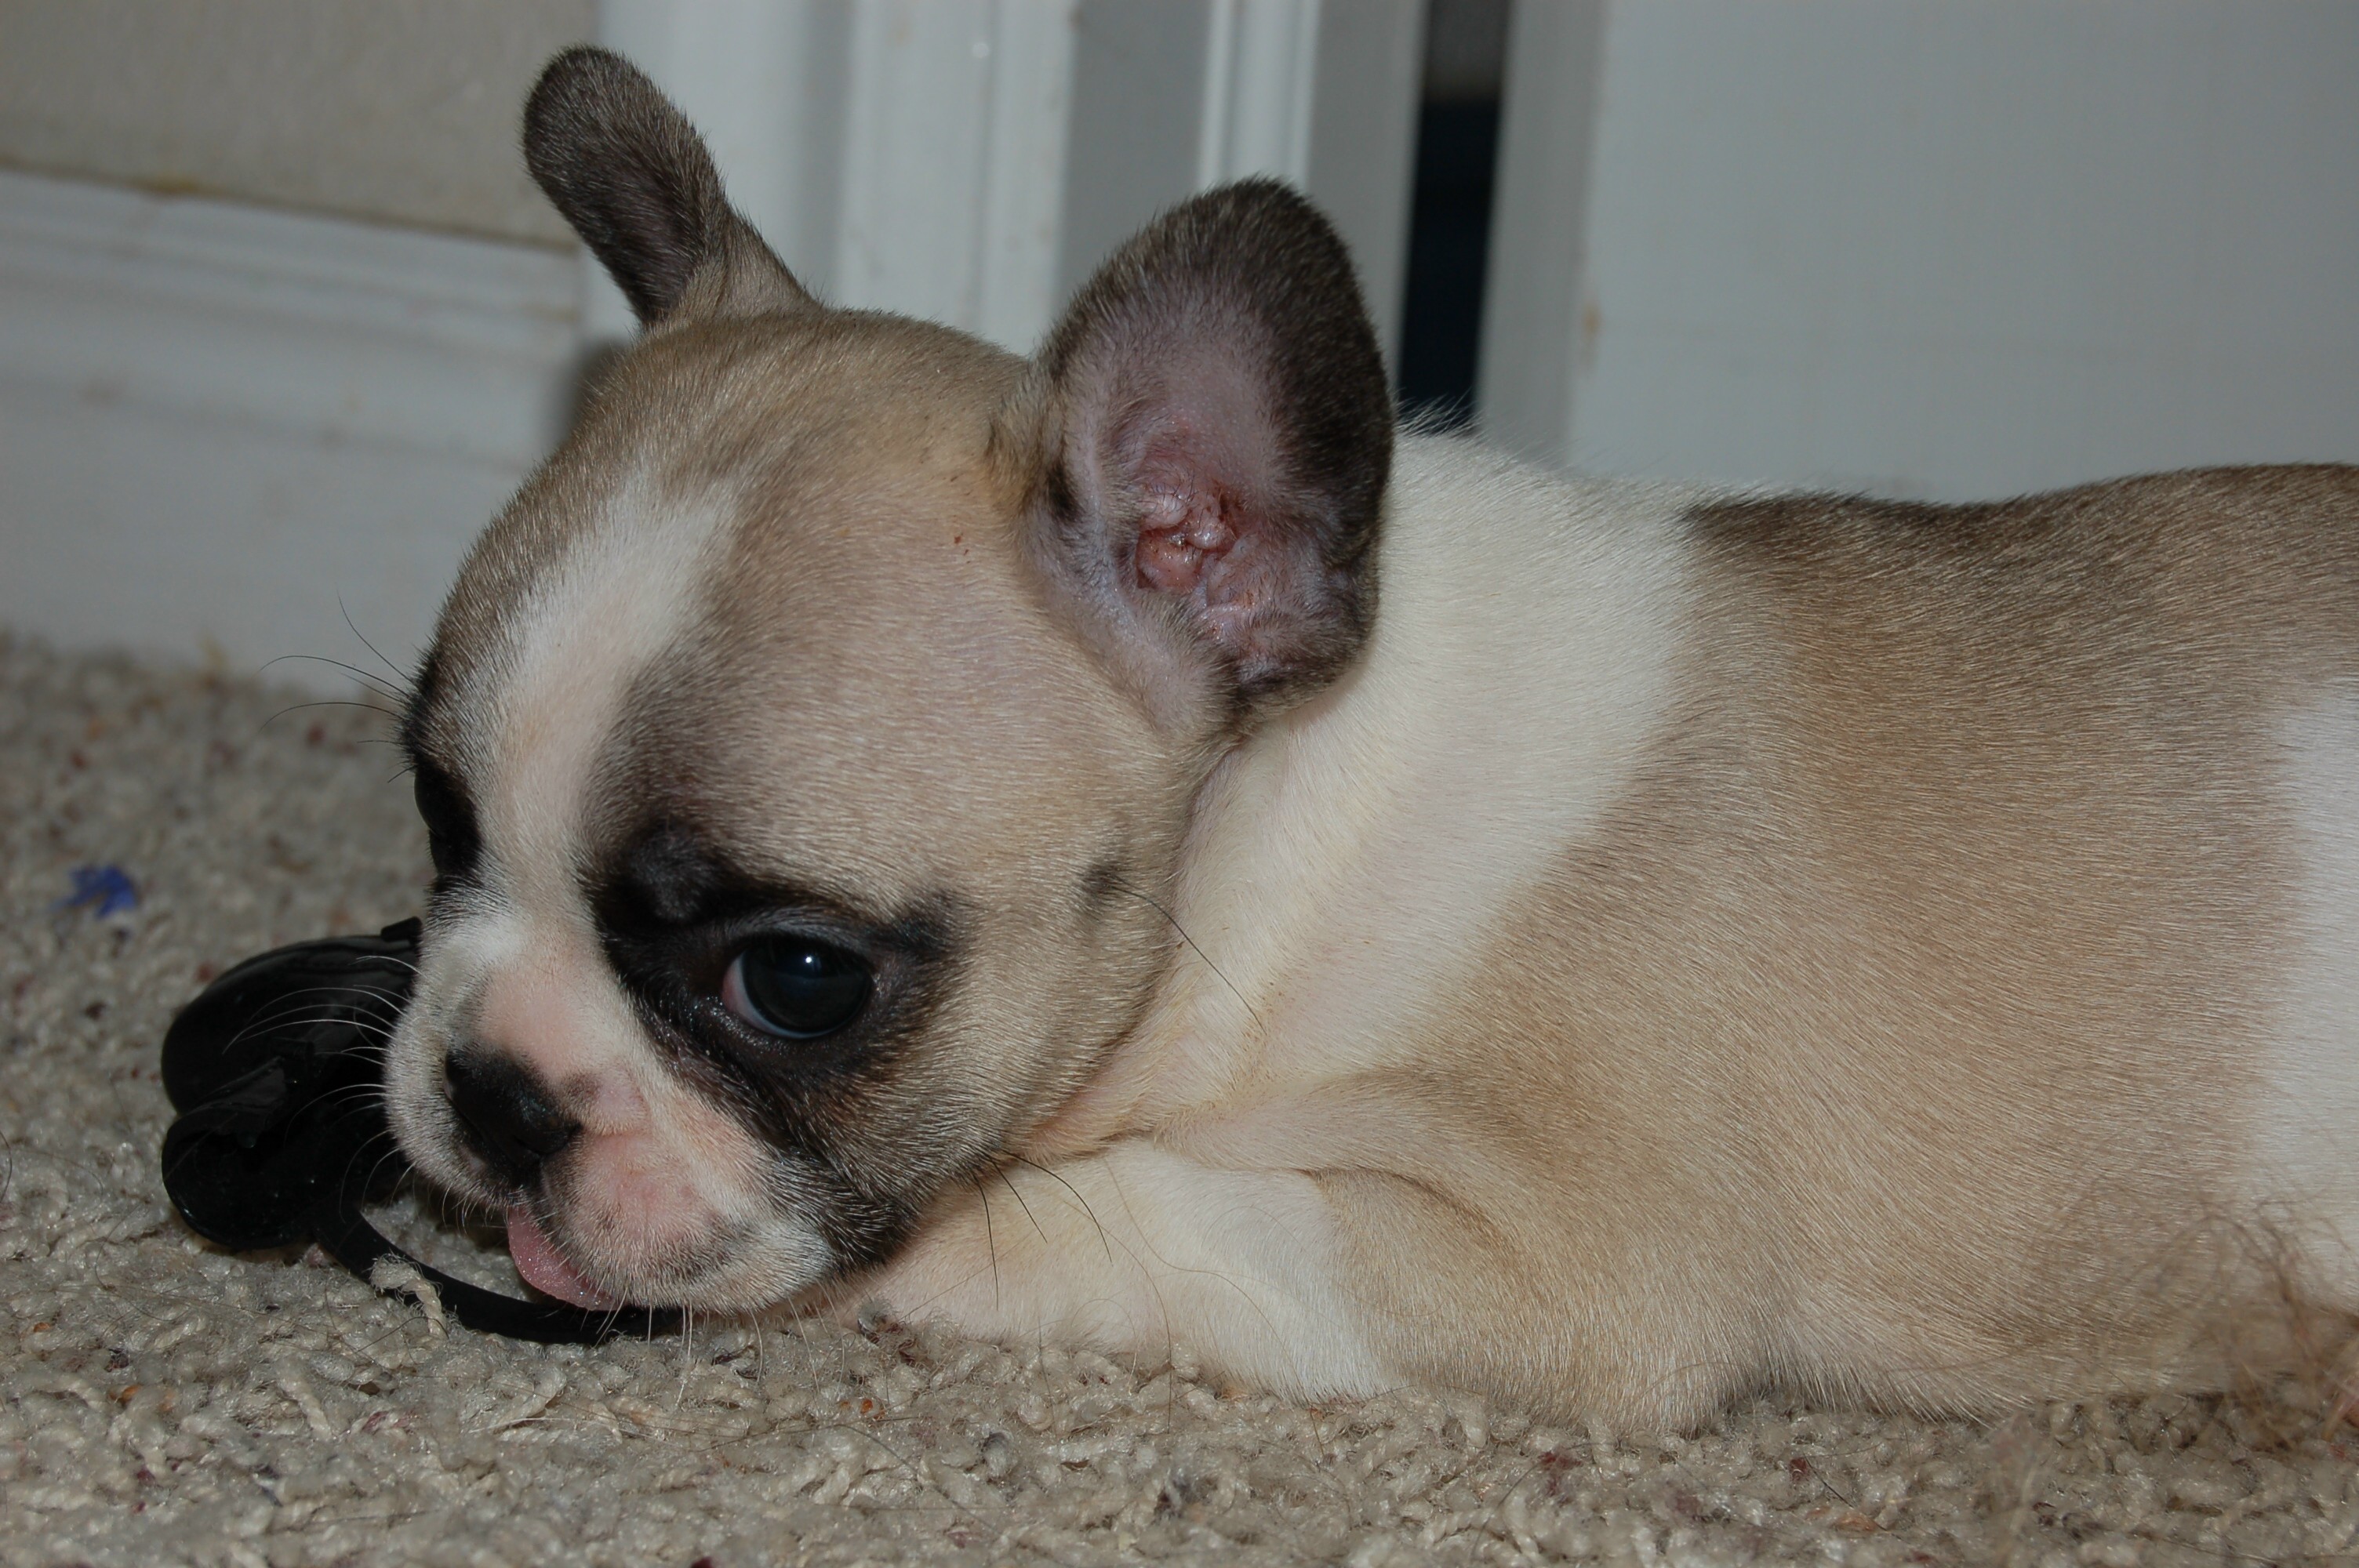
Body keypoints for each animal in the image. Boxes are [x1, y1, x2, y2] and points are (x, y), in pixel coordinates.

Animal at [384, 46, 2359, 1427]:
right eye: (437, 814)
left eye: (795, 977)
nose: (489, 1088)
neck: (1294, 817)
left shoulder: (1551, 1256)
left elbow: (1127, 1210)